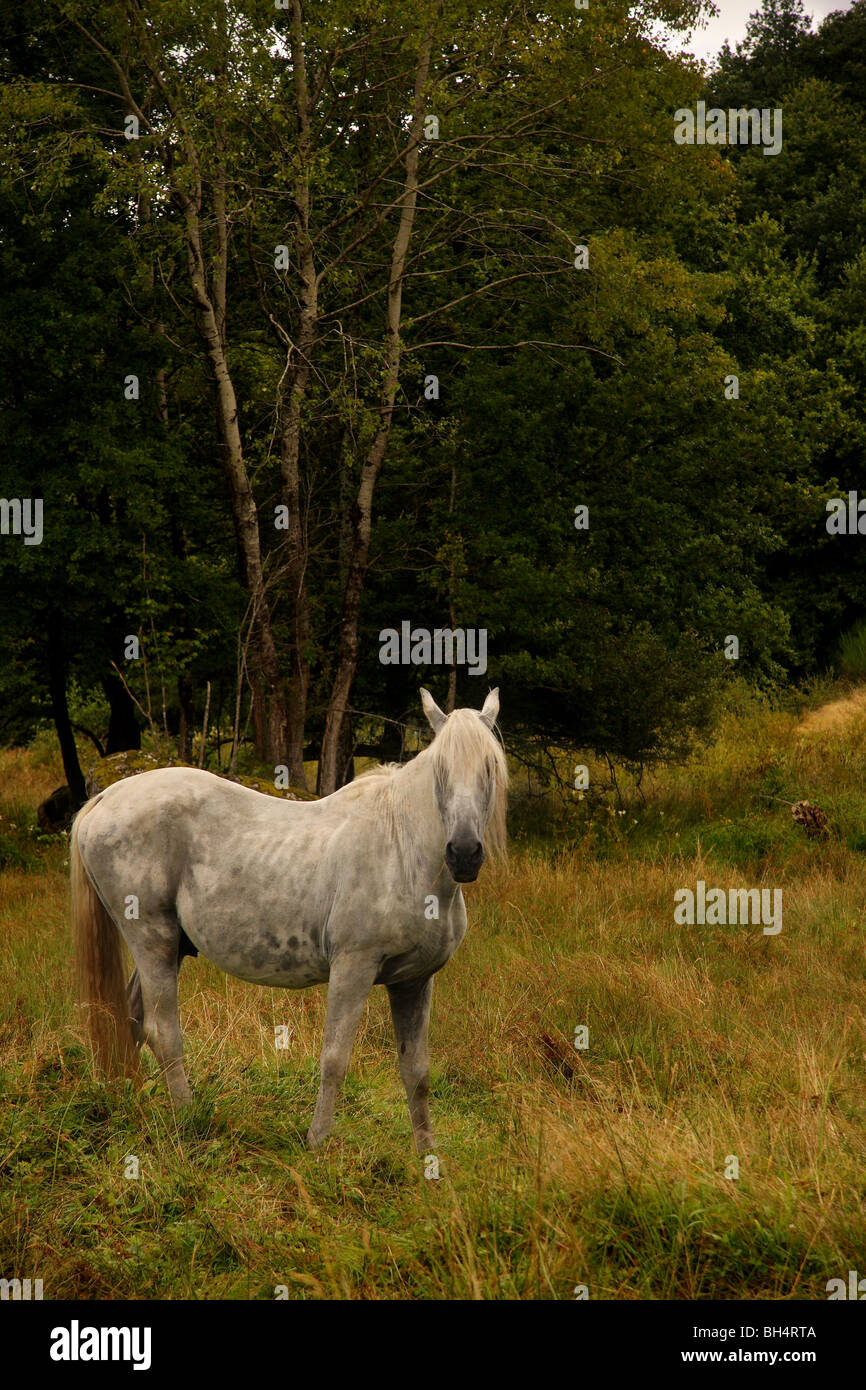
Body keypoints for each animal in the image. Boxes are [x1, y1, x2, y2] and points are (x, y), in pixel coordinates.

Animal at [71, 687, 506, 1151]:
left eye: (490, 768)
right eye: (441, 770)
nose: (464, 853)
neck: (401, 849)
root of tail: (107, 797)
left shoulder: (414, 982)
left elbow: (417, 1073)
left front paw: (426, 1155)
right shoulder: (352, 969)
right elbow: (335, 1060)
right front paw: (317, 1142)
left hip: (168, 948)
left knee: (133, 1021)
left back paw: (130, 1106)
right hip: (152, 939)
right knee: (162, 1030)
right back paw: (188, 1121)